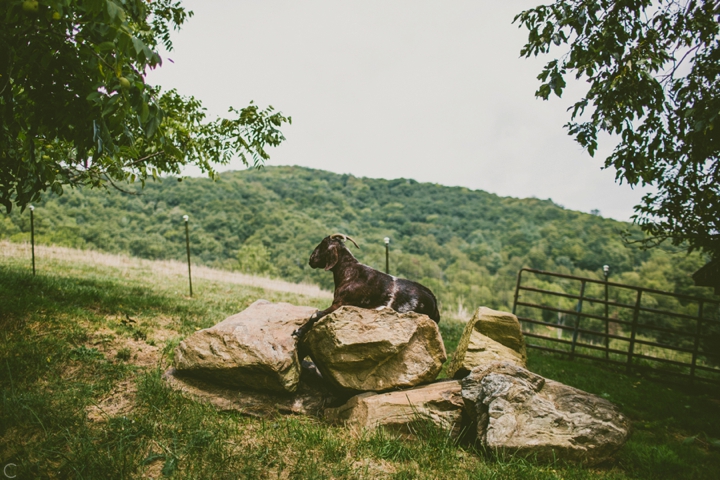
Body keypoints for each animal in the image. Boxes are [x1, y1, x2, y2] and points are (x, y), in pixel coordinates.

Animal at [292, 234, 438, 340]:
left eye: (323, 244)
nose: (311, 259)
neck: (350, 272)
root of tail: (433, 302)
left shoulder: (341, 303)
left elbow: (316, 315)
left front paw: (298, 331)